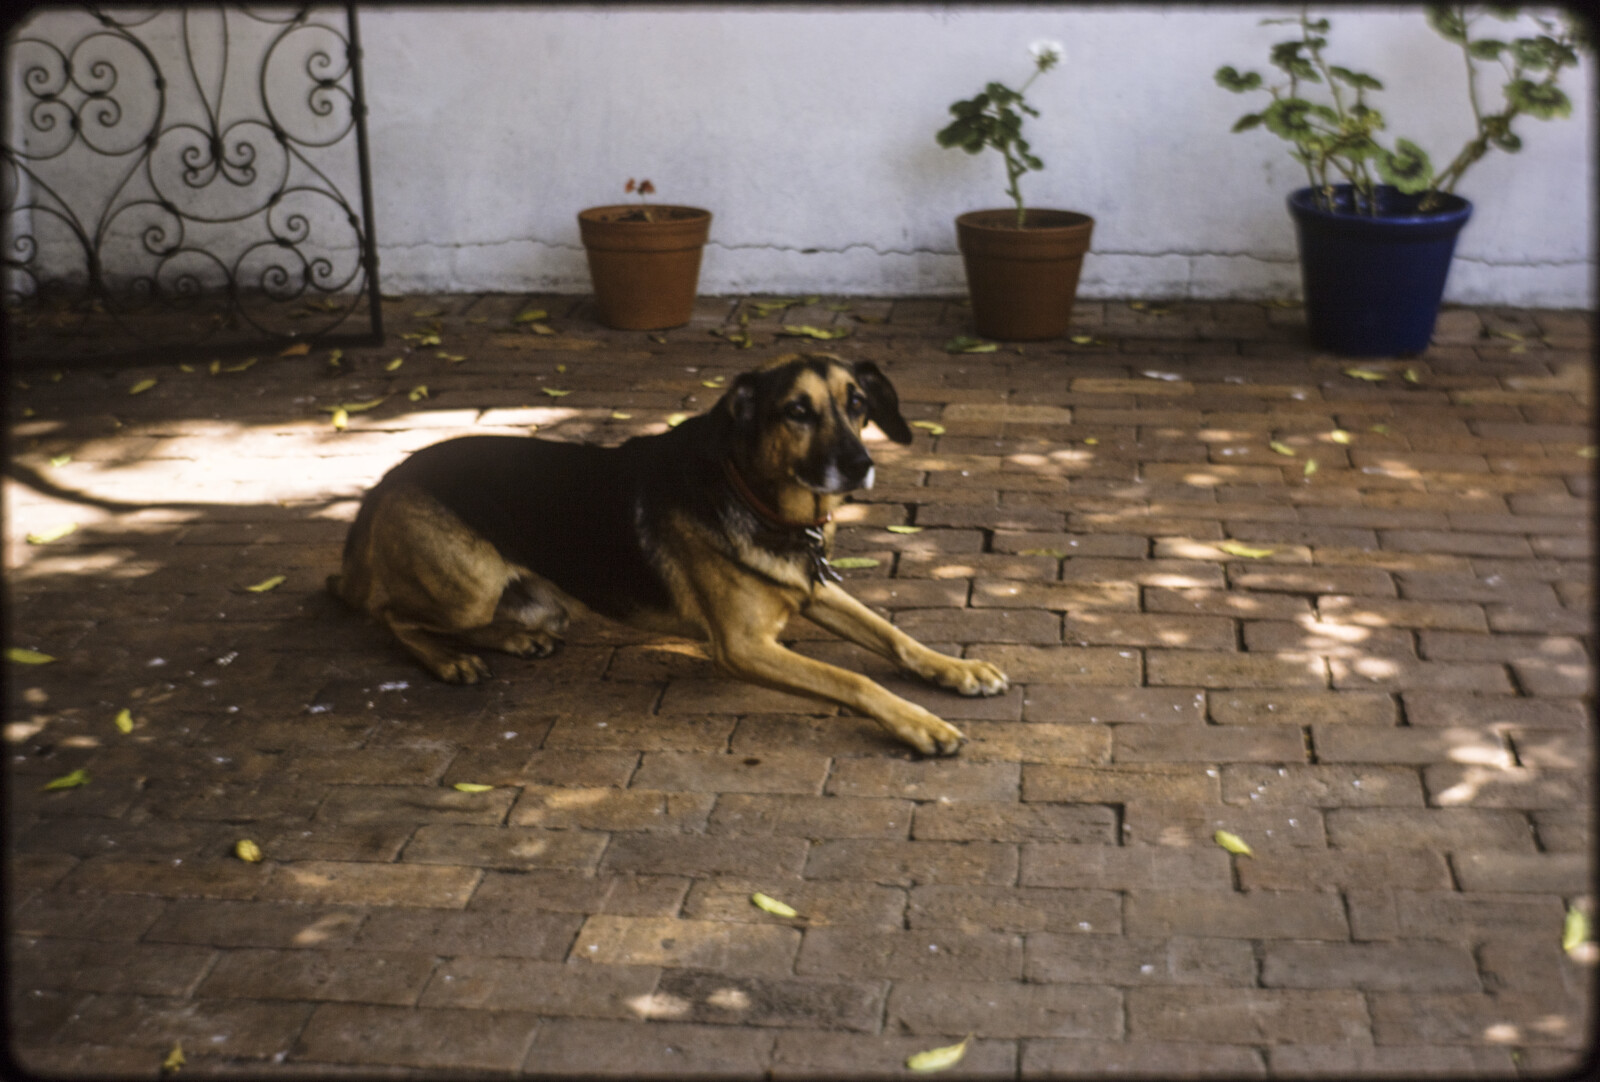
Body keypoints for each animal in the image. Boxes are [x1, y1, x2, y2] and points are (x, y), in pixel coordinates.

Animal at [329, 355, 1004, 752]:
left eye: (858, 402)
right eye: (797, 411)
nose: (861, 464)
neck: (757, 497)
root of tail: (385, 482)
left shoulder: (814, 588)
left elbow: (895, 636)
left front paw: (958, 668)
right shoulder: (743, 646)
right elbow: (854, 678)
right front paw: (920, 722)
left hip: (538, 602)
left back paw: (517, 639)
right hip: (466, 587)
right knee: (389, 614)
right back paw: (448, 661)